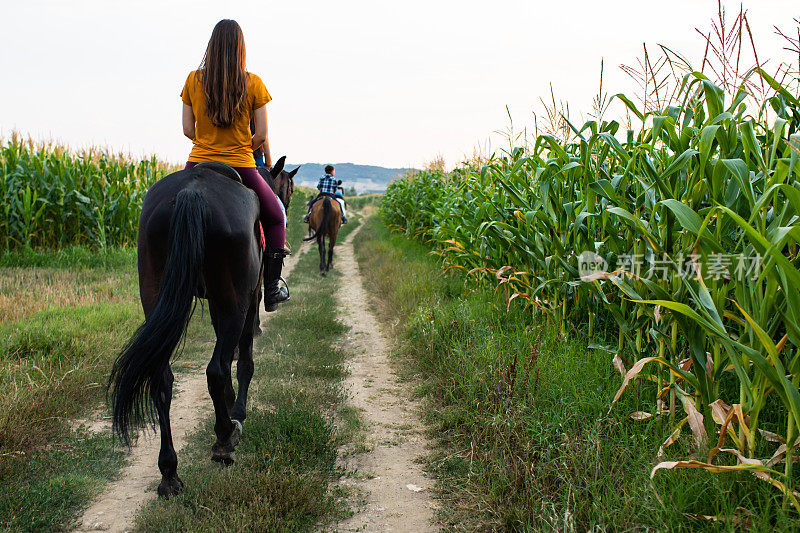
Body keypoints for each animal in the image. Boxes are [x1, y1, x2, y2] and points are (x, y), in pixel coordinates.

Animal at [111, 156, 296, 496]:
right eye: (287, 189)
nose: (289, 206)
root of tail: (192, 193)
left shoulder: (214, 302)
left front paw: (229, 402)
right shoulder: (249, 298)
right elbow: (244, 359)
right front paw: (237, 411)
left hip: (156, 291)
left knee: (162, 378)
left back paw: (169, 473)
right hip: (235, 299)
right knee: (216, 369)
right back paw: (224, 440)